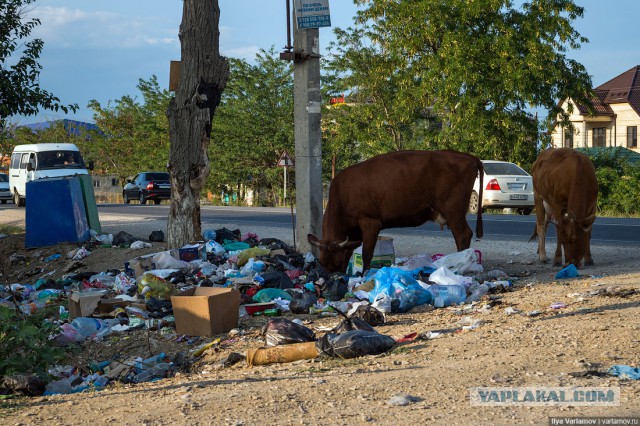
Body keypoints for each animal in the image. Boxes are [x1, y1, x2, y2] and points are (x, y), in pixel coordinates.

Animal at [308, 151, 482, 274]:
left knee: (463, 235)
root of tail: (468, 156)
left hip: (454, 210)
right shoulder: (354, 230)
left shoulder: (370, 221)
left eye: (335, 263)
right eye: (322, 262)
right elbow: (349, 251)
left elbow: (367, 253)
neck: (343, 194)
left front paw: (364, 274)